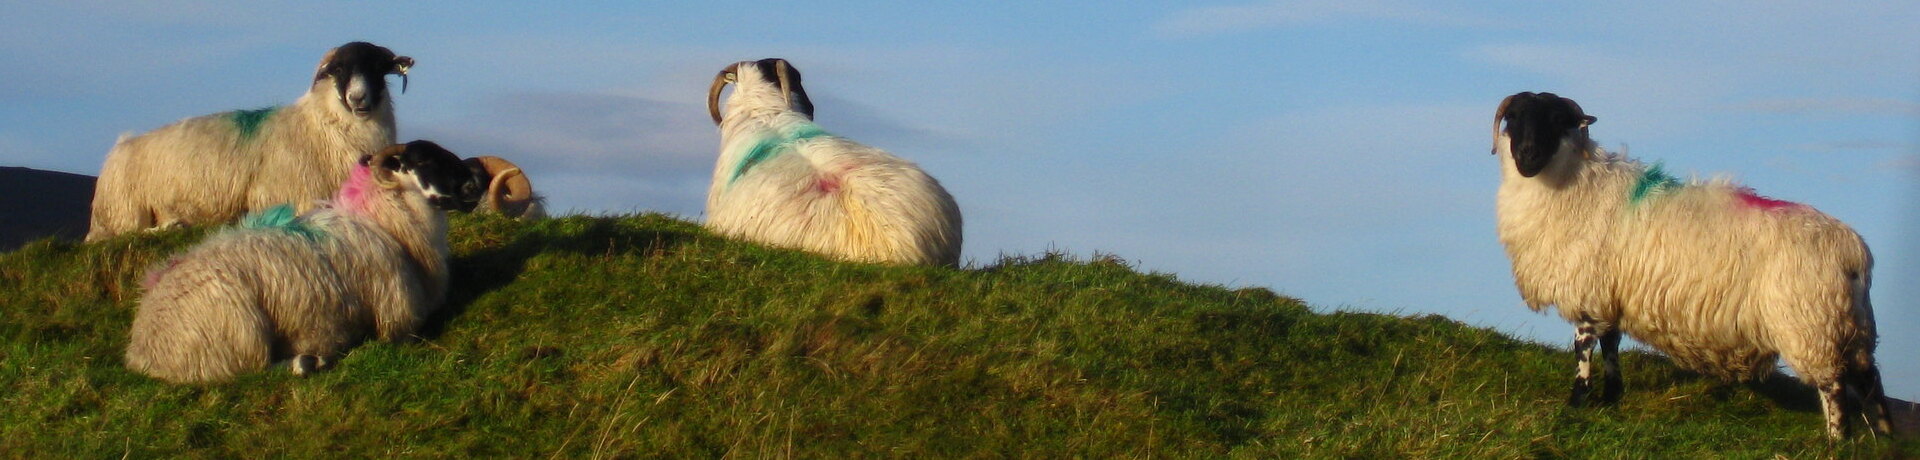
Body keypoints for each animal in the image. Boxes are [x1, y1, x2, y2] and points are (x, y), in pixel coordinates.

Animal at [87, 41, 416, 242]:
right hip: (124, 210)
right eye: (338, 70)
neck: (318, 126)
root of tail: (120, 147)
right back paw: (171, 225)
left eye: (377, 68)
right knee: (124, 234)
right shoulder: (288, 195)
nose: (358, 98)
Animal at [124, 140, 468, 385]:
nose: (471, 181)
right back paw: (306, 362)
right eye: (424, 160)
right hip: (239, 333)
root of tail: (142, 348)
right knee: (254, 370)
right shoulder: (397, 321)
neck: (382, 220)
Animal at [1482, 90, 1889, 438]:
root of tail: (1855, 254)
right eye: (1515, 118)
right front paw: (1612, 397)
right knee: (1869, 379)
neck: (1578, 185)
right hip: (1849, 325)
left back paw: (1837, 441)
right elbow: (1611, 343)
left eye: (1556, 120)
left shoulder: (1589, 293)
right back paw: (1883, 437)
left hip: (1810, 324)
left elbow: (1583, 349)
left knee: (1833, 387)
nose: (1528, 155)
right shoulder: (1612, 295)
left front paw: (1576, 402)